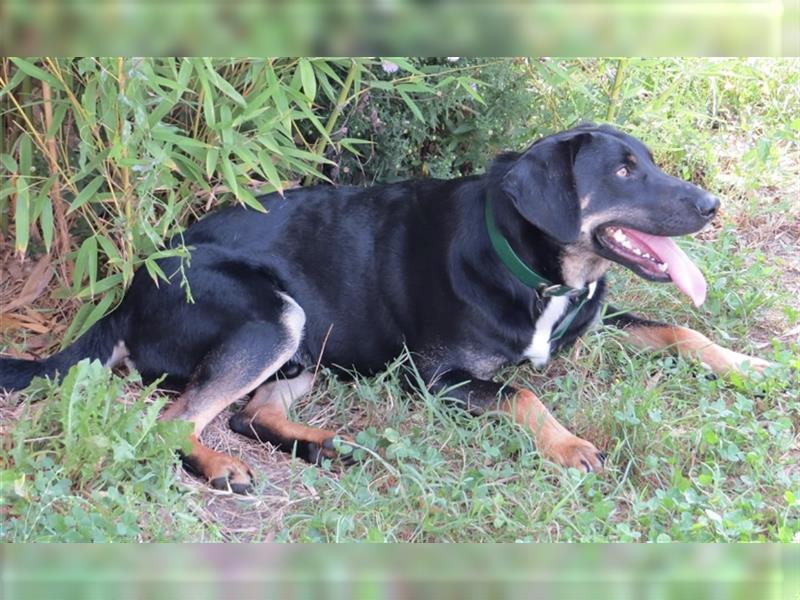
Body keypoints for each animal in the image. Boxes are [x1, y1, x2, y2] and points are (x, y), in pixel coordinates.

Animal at [3, 123, 772, 492]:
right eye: (621, 172)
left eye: (650, 160)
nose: (712, 204)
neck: (536, 270)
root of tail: (129, 289)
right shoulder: (432, 378)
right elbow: (522, 393)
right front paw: (568, 444)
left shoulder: (593, 319)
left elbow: (674, 326)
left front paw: (746, 365)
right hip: (273, 319)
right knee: (174, 419)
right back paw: (221, 467)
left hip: (309, 340)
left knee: (252, 414)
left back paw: (329, 445)